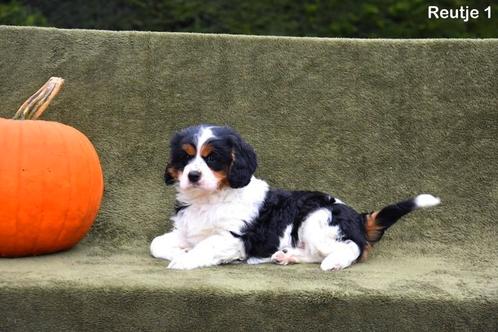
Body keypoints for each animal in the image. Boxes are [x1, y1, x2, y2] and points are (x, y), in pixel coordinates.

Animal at [149, 124, 440, 270]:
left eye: (212, 159)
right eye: (185, 157)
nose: (193, 176)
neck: (208, 199)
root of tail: (358, 218)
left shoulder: (233, 236)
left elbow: (206, 246)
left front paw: (185, 258)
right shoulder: (188, 230)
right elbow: (155, 244)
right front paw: (182, 249)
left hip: (318, 219)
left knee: (351, 248)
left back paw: (334, 262)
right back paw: (287, 256)